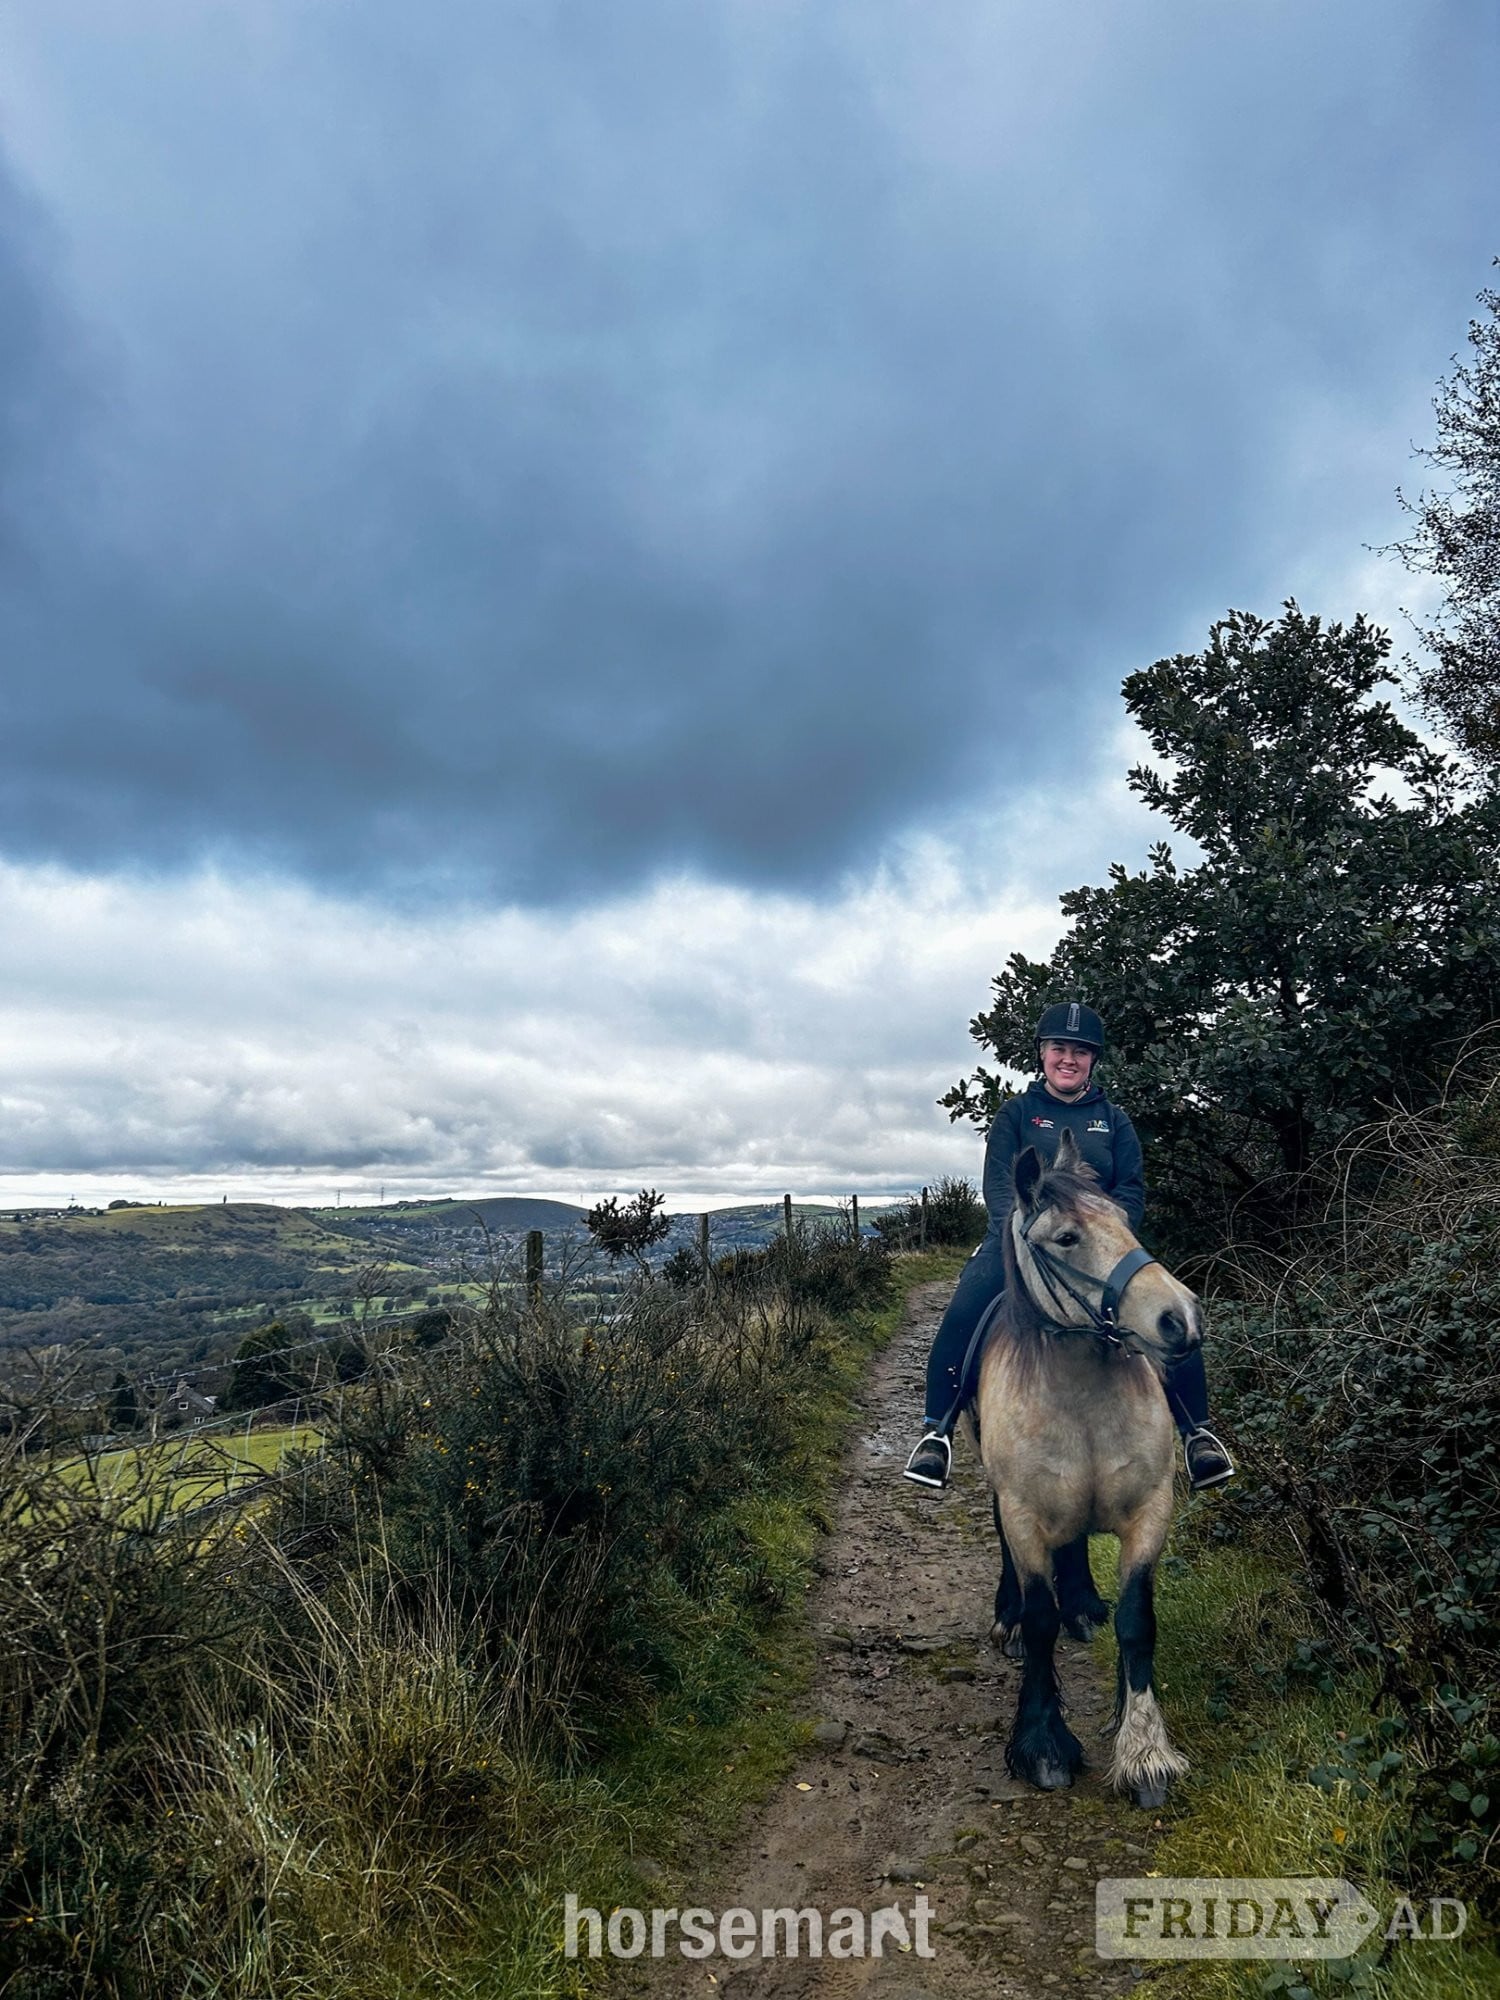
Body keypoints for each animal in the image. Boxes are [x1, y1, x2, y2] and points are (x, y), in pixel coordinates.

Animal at [972, 1127, 1200, 1809]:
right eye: (1067, 1237)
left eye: (1126, 1222)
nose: (1179, 1318)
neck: (1081, 1391)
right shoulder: (1022, 1513)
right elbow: (1039, 1618)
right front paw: (1044, 1745)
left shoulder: (1151, 1509)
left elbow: (1137, 1621)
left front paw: (1145, 1752)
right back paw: (1008, 1620)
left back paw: (1082, 1604)